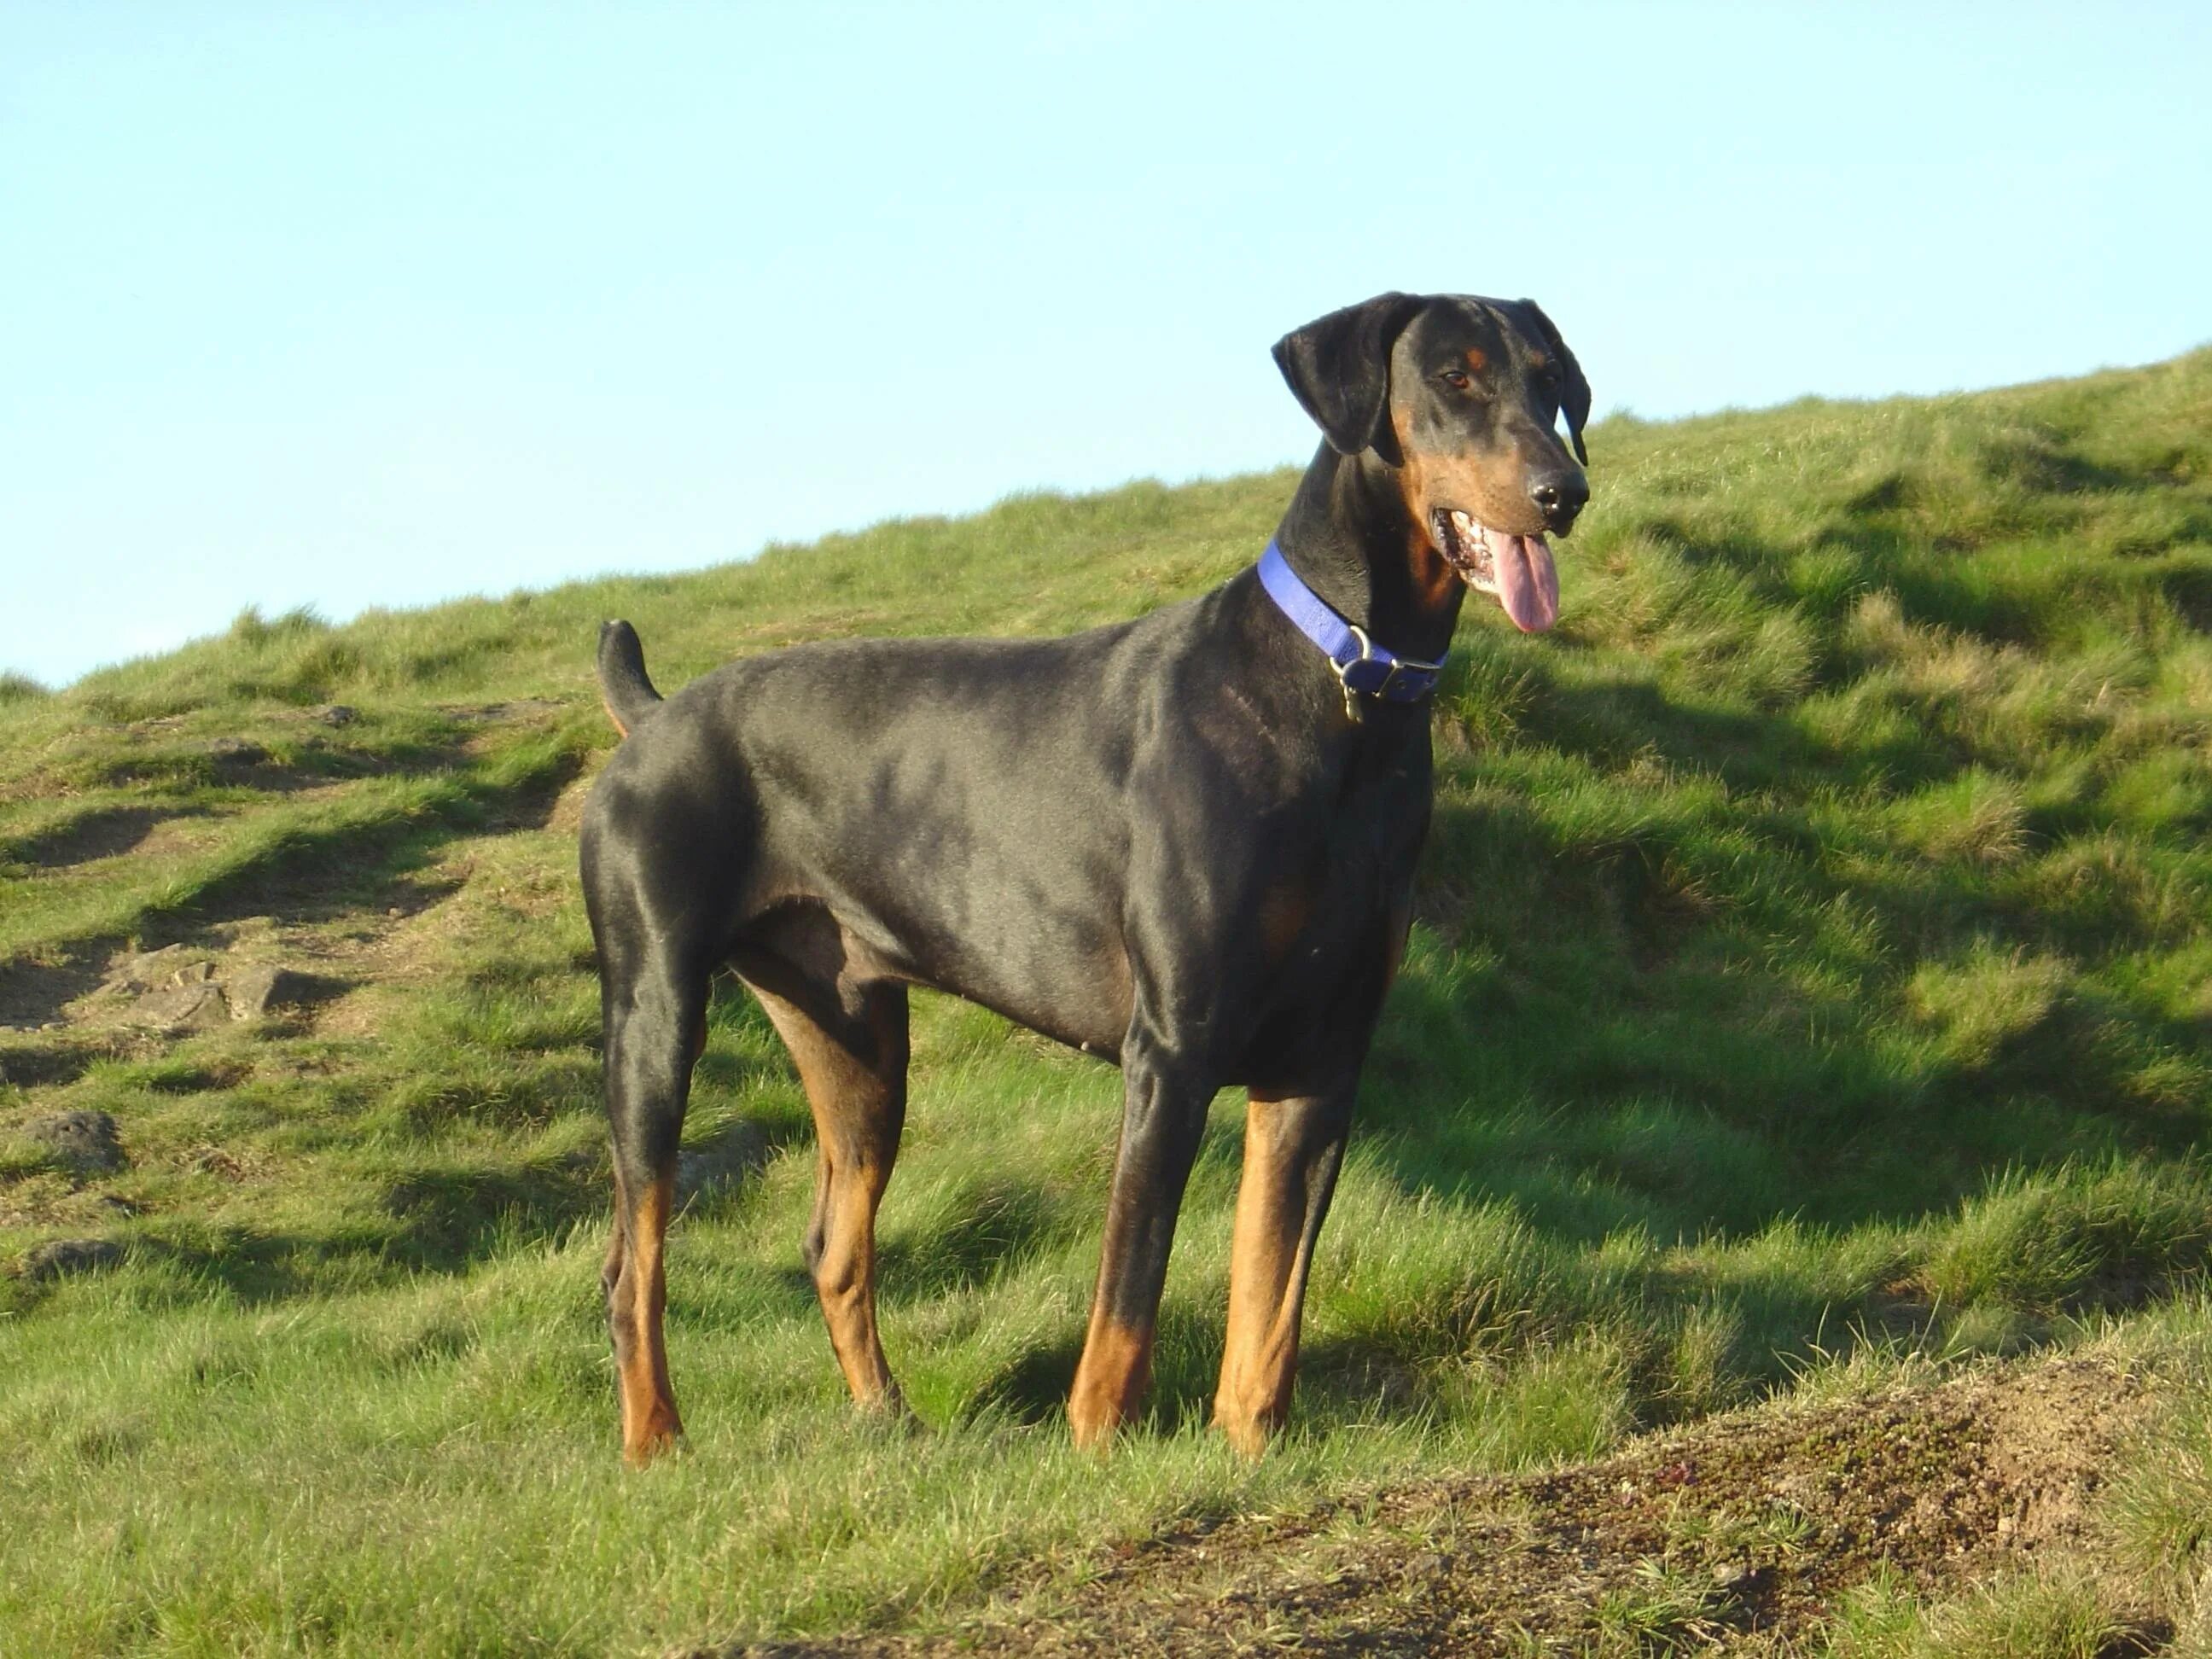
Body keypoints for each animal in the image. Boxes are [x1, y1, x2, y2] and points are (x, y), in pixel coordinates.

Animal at [588, 289, 1592, 1469]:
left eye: (1550, 379)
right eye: (1456, 378)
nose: (1564, 493)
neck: (1348, 688)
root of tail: (653, 715)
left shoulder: (1322, 1058)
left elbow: (1270, 1295)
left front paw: (1246, 1454)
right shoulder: (1173, 1051)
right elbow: (1130, 1284)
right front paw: (1098, 1449)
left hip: (856, 1038)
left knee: (834, 1241)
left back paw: (889, 1421)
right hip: (656, 1014)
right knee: (633, 1261)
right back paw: (655, 1442)